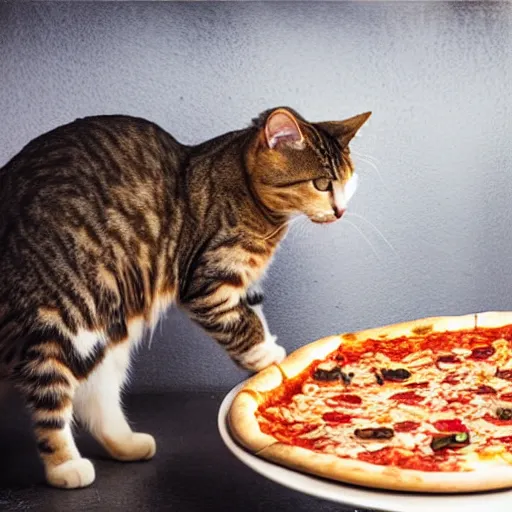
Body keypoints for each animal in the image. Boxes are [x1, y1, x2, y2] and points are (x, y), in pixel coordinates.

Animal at [0, 107, 368, 488]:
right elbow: (241, 324)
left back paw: (125, 443)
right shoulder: (208, 283)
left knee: (95, 394)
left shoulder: (243, 286)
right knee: (50, 395)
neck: (245, 194)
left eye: (348, 182)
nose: (340, 210)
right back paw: (65, 465)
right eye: (322, 184)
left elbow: (252, 314)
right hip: (57, 316)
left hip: (108, 328)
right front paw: (267, 359)